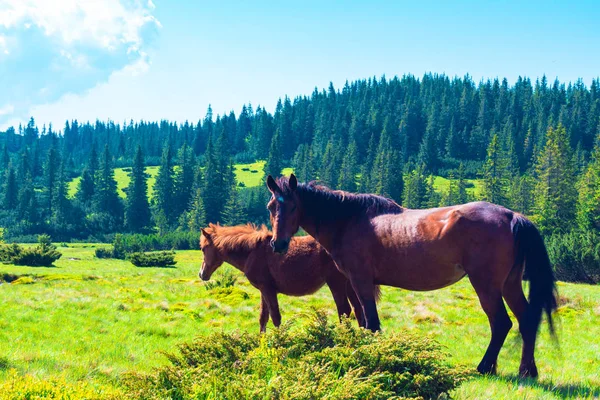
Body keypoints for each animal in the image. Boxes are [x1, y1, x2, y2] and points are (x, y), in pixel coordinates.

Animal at [199, 223, 372, 332]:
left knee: (344, 310)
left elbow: (275, 317)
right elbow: (263, 317)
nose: (202, 274)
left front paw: (279, 341)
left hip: (336, 283)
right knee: (358, 309)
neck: (253, 252)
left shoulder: (268, 289)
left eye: (203, 248)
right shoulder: (264, 290)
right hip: (349, 285)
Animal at [268, 175, 556, 378]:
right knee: (526, 320)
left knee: (501, 323)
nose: (277, 244)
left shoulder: (361, 280)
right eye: (271, 207)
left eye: (293, 207)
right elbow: (360, 320)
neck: (348, 221)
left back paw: (484, 367)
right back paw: (527, 371)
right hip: (510, 284)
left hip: (486, 285)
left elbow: (371, 323)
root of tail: (512, 216)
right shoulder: (353, 282)